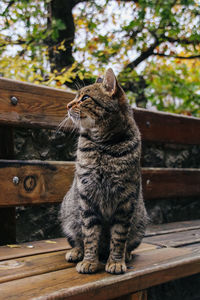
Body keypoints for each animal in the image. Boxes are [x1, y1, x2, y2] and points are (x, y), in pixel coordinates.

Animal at [59, 68, 147, 274]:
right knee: (77, 239)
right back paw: (76, 252)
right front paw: (90, 261)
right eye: (75, 97)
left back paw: (126, 254)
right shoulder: (86, 196)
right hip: (68, 216)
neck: (104, 147)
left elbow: (119, 237)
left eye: (85, 98)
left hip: (140, 222)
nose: (67, 105)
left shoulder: (125, 200)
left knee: (128, 243)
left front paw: (115, 261)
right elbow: (90, 235)